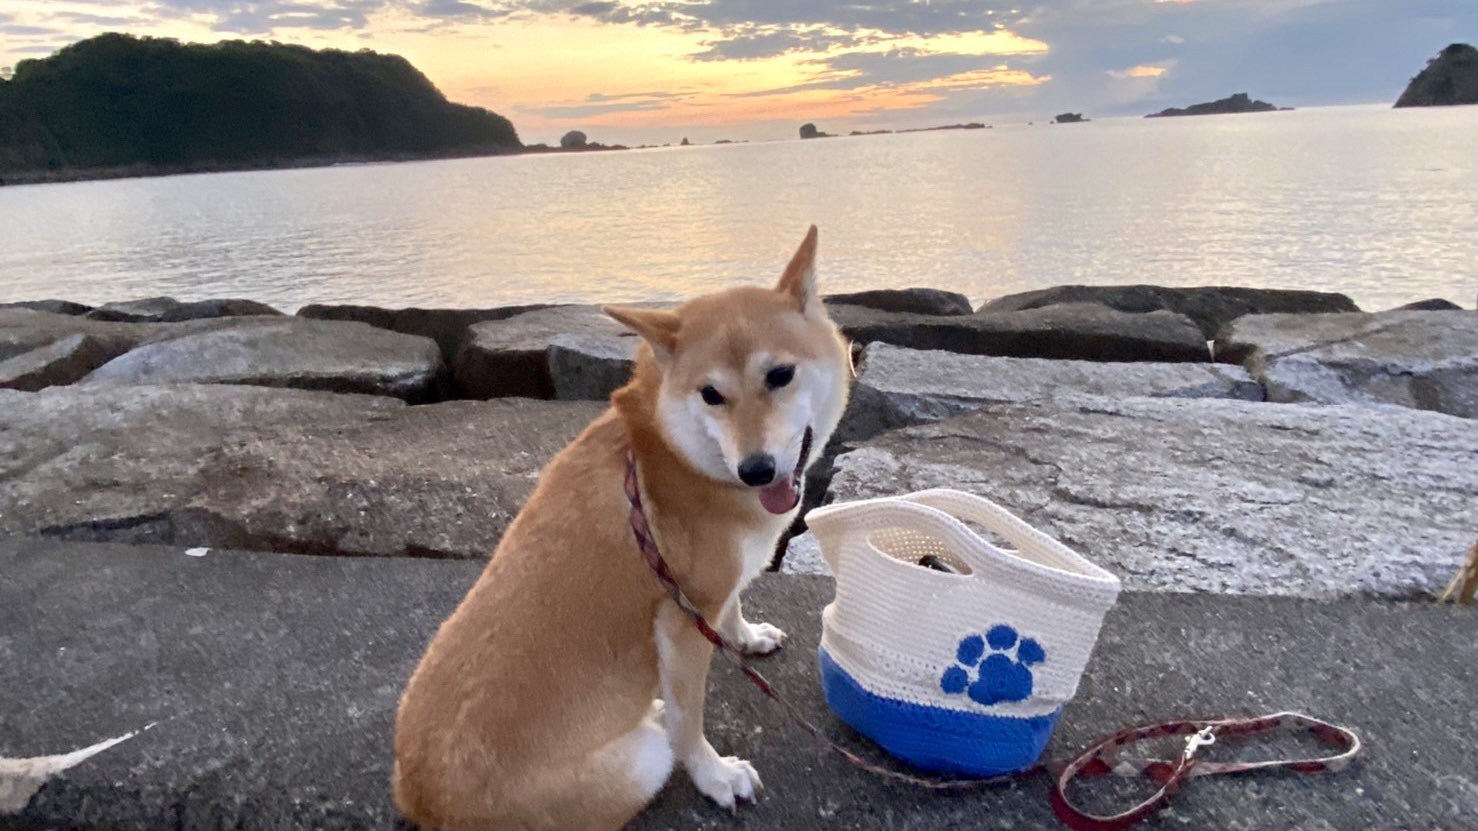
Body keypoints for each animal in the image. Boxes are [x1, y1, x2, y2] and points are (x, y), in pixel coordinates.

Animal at [393, 223, 851, 822]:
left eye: (780, 375)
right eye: (711, 394)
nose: (756, 469)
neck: (681, 457)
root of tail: (419, 797)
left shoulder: (714, 591)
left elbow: (732, 611)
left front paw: (747, 637)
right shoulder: (681, 623)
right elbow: (689, 721)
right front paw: (714, 775)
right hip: (641, 760)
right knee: (662, 737)